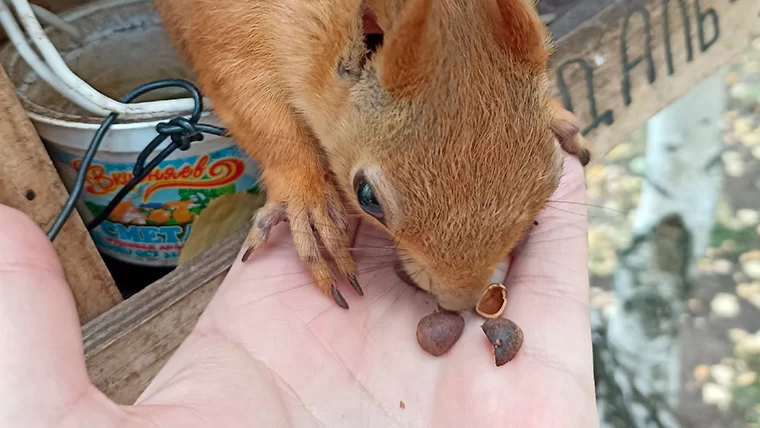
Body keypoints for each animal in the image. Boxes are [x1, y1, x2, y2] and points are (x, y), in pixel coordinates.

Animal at [153, 0, 588, 310]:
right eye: (366, 197)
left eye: (552, 178)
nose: (459, 302)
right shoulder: (229, 31)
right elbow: (257, 110)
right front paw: (307, 199)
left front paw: (555, 112)